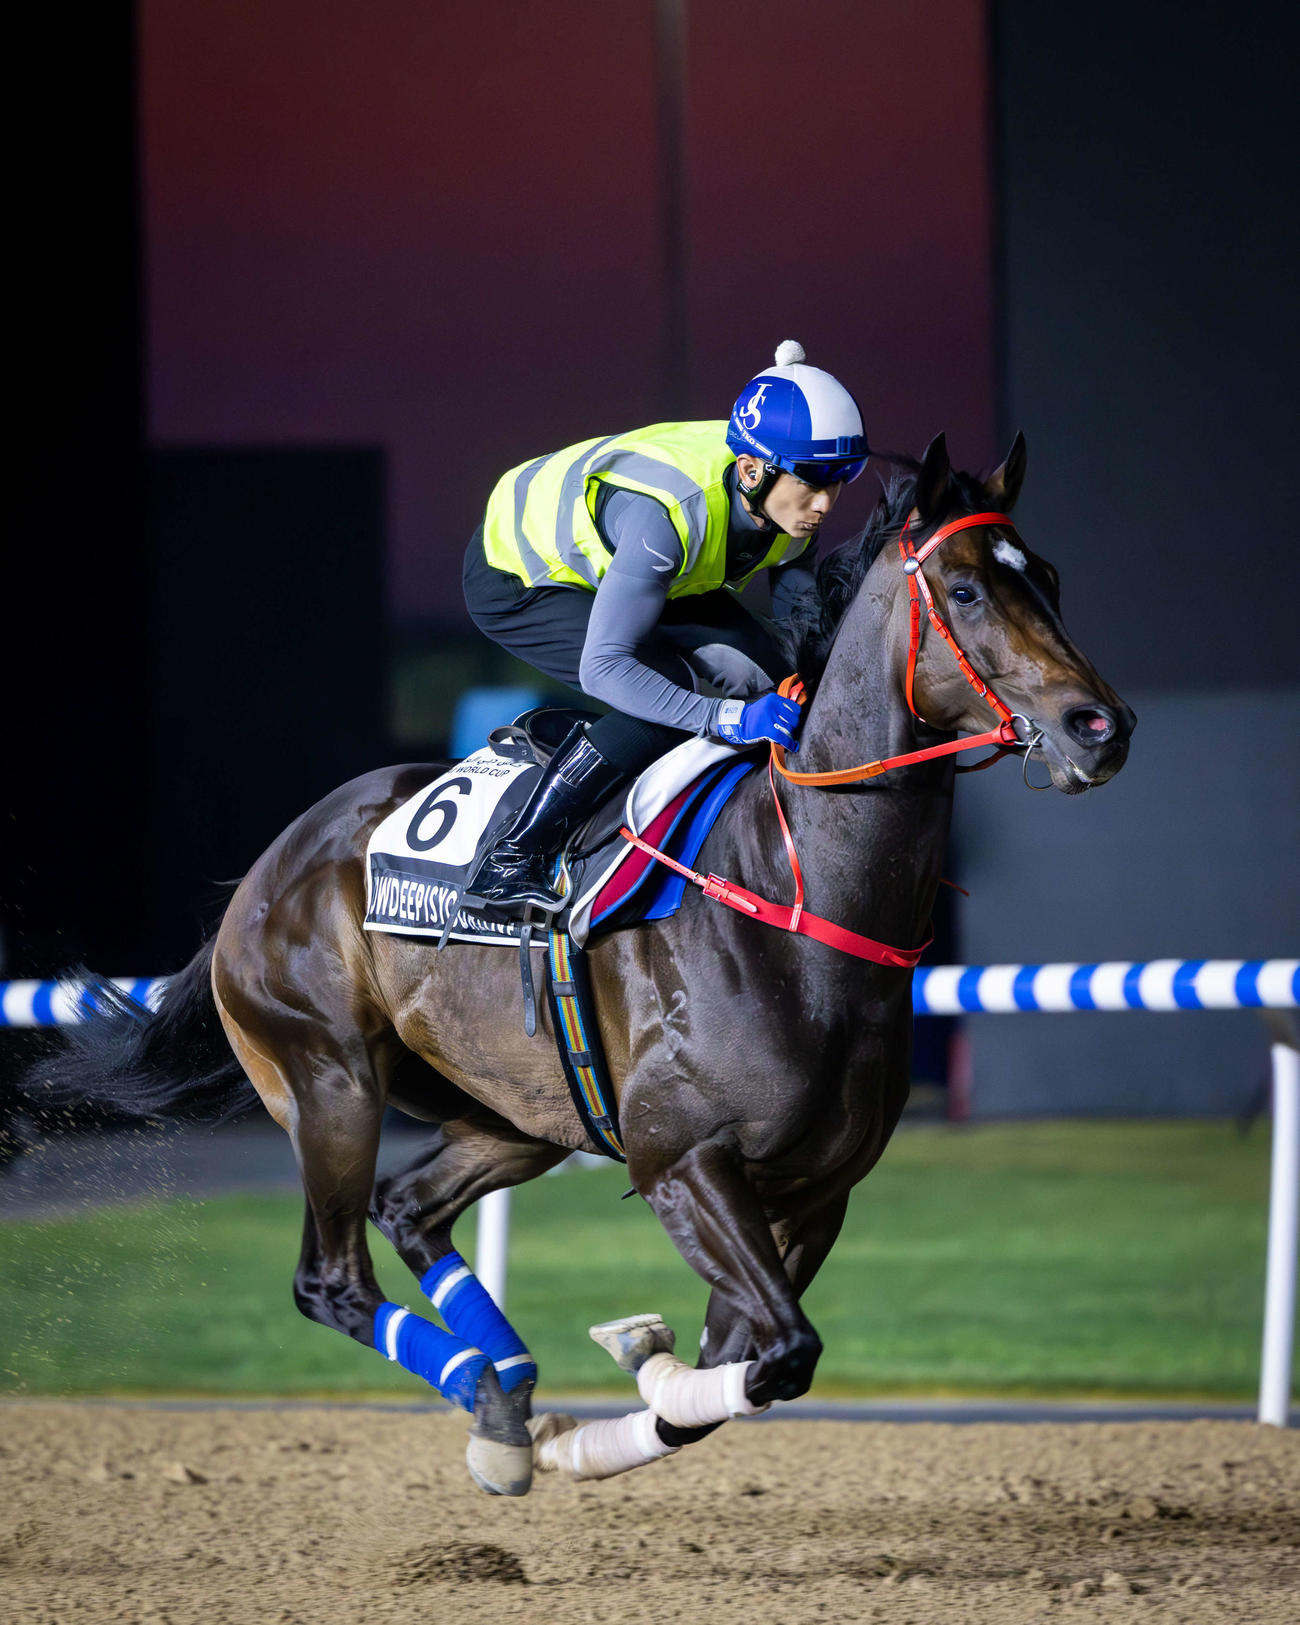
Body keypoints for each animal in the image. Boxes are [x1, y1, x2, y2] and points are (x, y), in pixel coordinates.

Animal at [43, 431, 1133, 1495]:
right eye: (965, 590)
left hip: (514, 1110)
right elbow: (779, 1352)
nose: (1100, 726)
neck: (795, 897)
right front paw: (625, 1363)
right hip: (328, 1082)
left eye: (1047, 576)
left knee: (409, 1209)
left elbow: (741, 1368)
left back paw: (507, 1394)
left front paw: (617, 1389)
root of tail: (268, 868)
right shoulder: (683, 1160)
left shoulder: (815, 1193)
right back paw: (483, 1394)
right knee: (332, 1279)